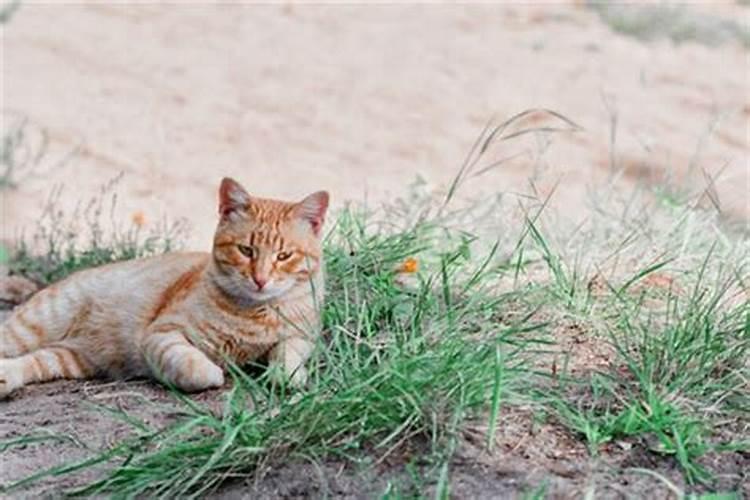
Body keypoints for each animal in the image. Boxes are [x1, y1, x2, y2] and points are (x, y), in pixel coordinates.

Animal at [0, 179, 328, 398]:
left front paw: (288, 376)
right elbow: (197, 368)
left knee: (33, 362)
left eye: (284, 256)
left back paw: (6, 377)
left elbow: (289, 355)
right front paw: (216, 370)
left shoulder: (302, 335)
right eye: (246, 250)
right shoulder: (162, 333)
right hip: (34, 326)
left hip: (68, 357)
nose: (260, 279)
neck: (254, 313)